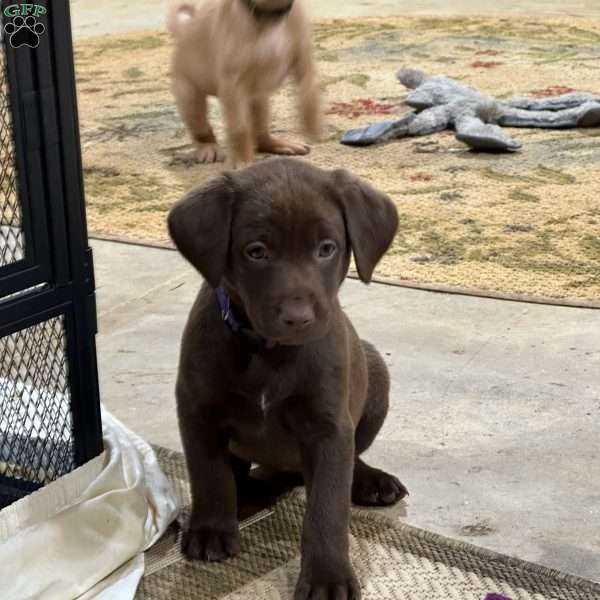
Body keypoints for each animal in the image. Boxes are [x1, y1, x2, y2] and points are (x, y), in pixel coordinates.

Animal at [166, 0, 322, 168]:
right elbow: (240, 128)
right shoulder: (233, 84)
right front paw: (241, 160)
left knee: (261, 135)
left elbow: (309, 95)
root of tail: (183, 31)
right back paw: (209, 148)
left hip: (259, 102)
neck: (269, 18)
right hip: (190, 100)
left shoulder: (304, 63)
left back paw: (280, 145)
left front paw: (312, 126)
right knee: (202, 131)